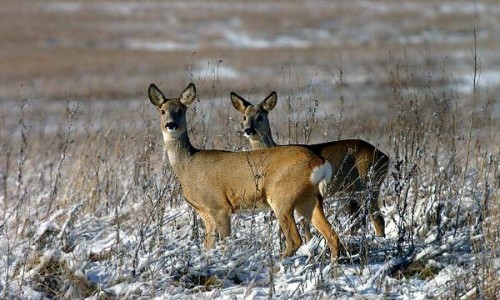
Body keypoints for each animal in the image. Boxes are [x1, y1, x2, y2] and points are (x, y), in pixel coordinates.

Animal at [148, 82, 344, 260]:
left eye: (181, 110)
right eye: (162, 111)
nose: (170, 125)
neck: (187, 165)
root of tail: (319, 162)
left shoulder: (220, 205)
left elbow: (225, 243)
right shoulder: (205, 212)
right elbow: (208, 246)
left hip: (282, 195)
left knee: (295, 240)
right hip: (309, 199)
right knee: (332, 235)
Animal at [230, 91, 390, 237]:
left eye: (260, 117)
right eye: (244, 117)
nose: (248, 130)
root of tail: (385, 157)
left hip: (368, 183)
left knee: (377, 217)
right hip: (351, 193)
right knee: (357, 221)